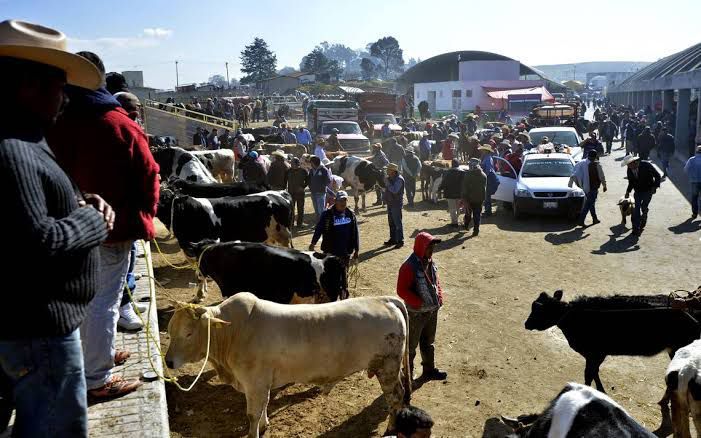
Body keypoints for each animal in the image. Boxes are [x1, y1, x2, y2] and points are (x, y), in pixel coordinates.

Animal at [165, 294, 410, 438]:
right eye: (169, 329)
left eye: (188, 333)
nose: (168, 361)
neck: (233, 332)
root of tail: (385, 300)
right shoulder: (259, 384)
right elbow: (262, 408)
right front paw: (264, 425)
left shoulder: (255, 383)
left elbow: (252, 414)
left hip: (387, 367)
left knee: (396, 397)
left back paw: (391, 428)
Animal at [524, 290, 696, 394]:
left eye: (540, 309)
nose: (526, 324)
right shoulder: (596, 355)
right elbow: (594, 372)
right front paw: (599, 390)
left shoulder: (596, 354)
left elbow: (589, 374)